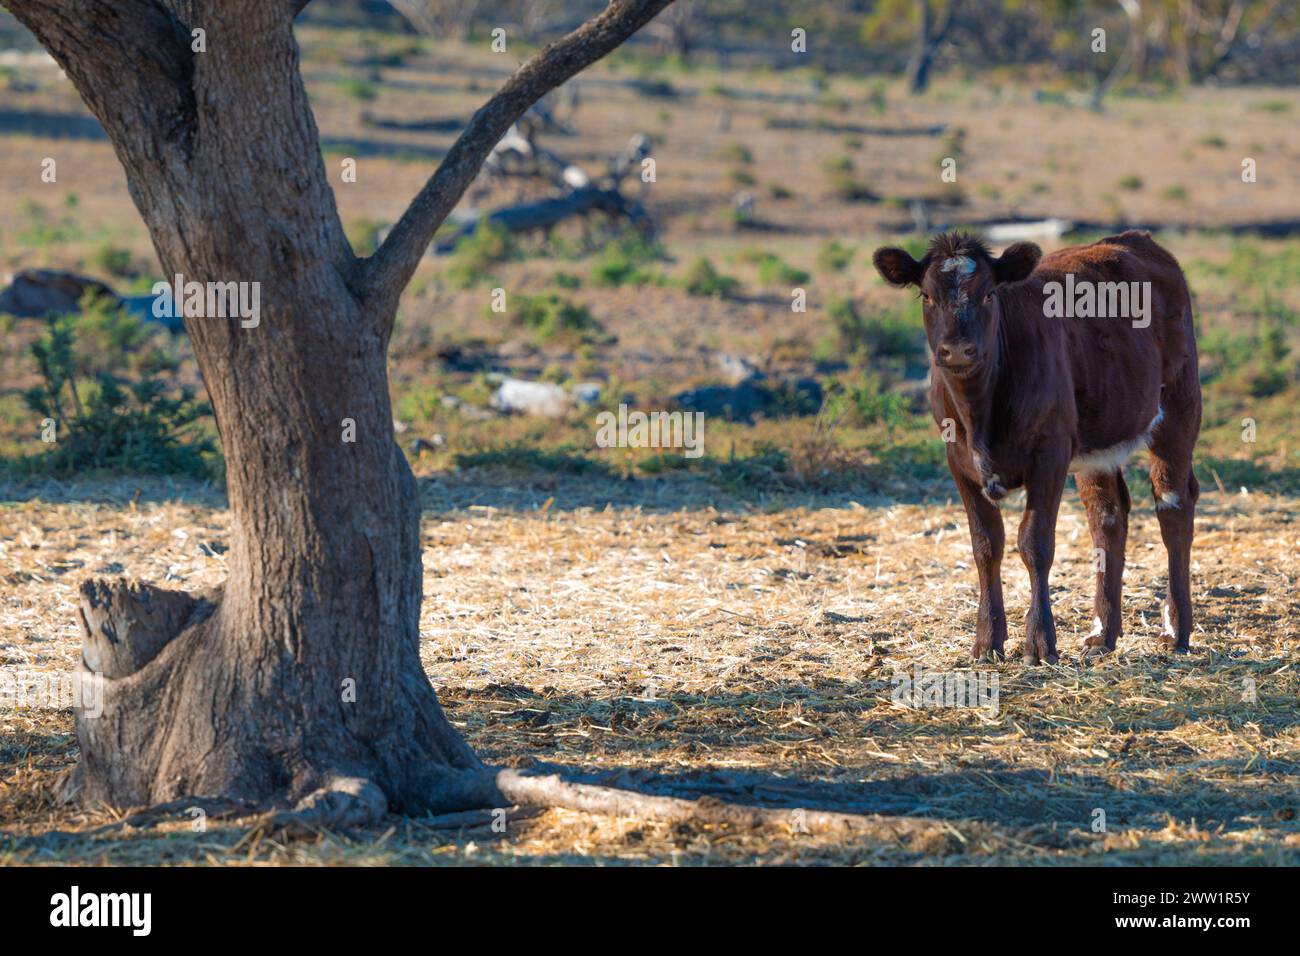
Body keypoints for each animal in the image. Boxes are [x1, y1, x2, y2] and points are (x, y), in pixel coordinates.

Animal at [873, 234, 1196, 665]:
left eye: (989, 293)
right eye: (926, 295)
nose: (957, 350)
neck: (980, 413)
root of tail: (1133, 239)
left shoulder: (1050, 453)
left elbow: (1035, 543)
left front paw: (1040, 642)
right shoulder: (957, 461)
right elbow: (985, 546)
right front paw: (987, 641)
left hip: (1178, 408)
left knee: (1173, 507)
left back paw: (1175, 631)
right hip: (1098, 441)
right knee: (1107, 517)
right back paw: (1102, 634)